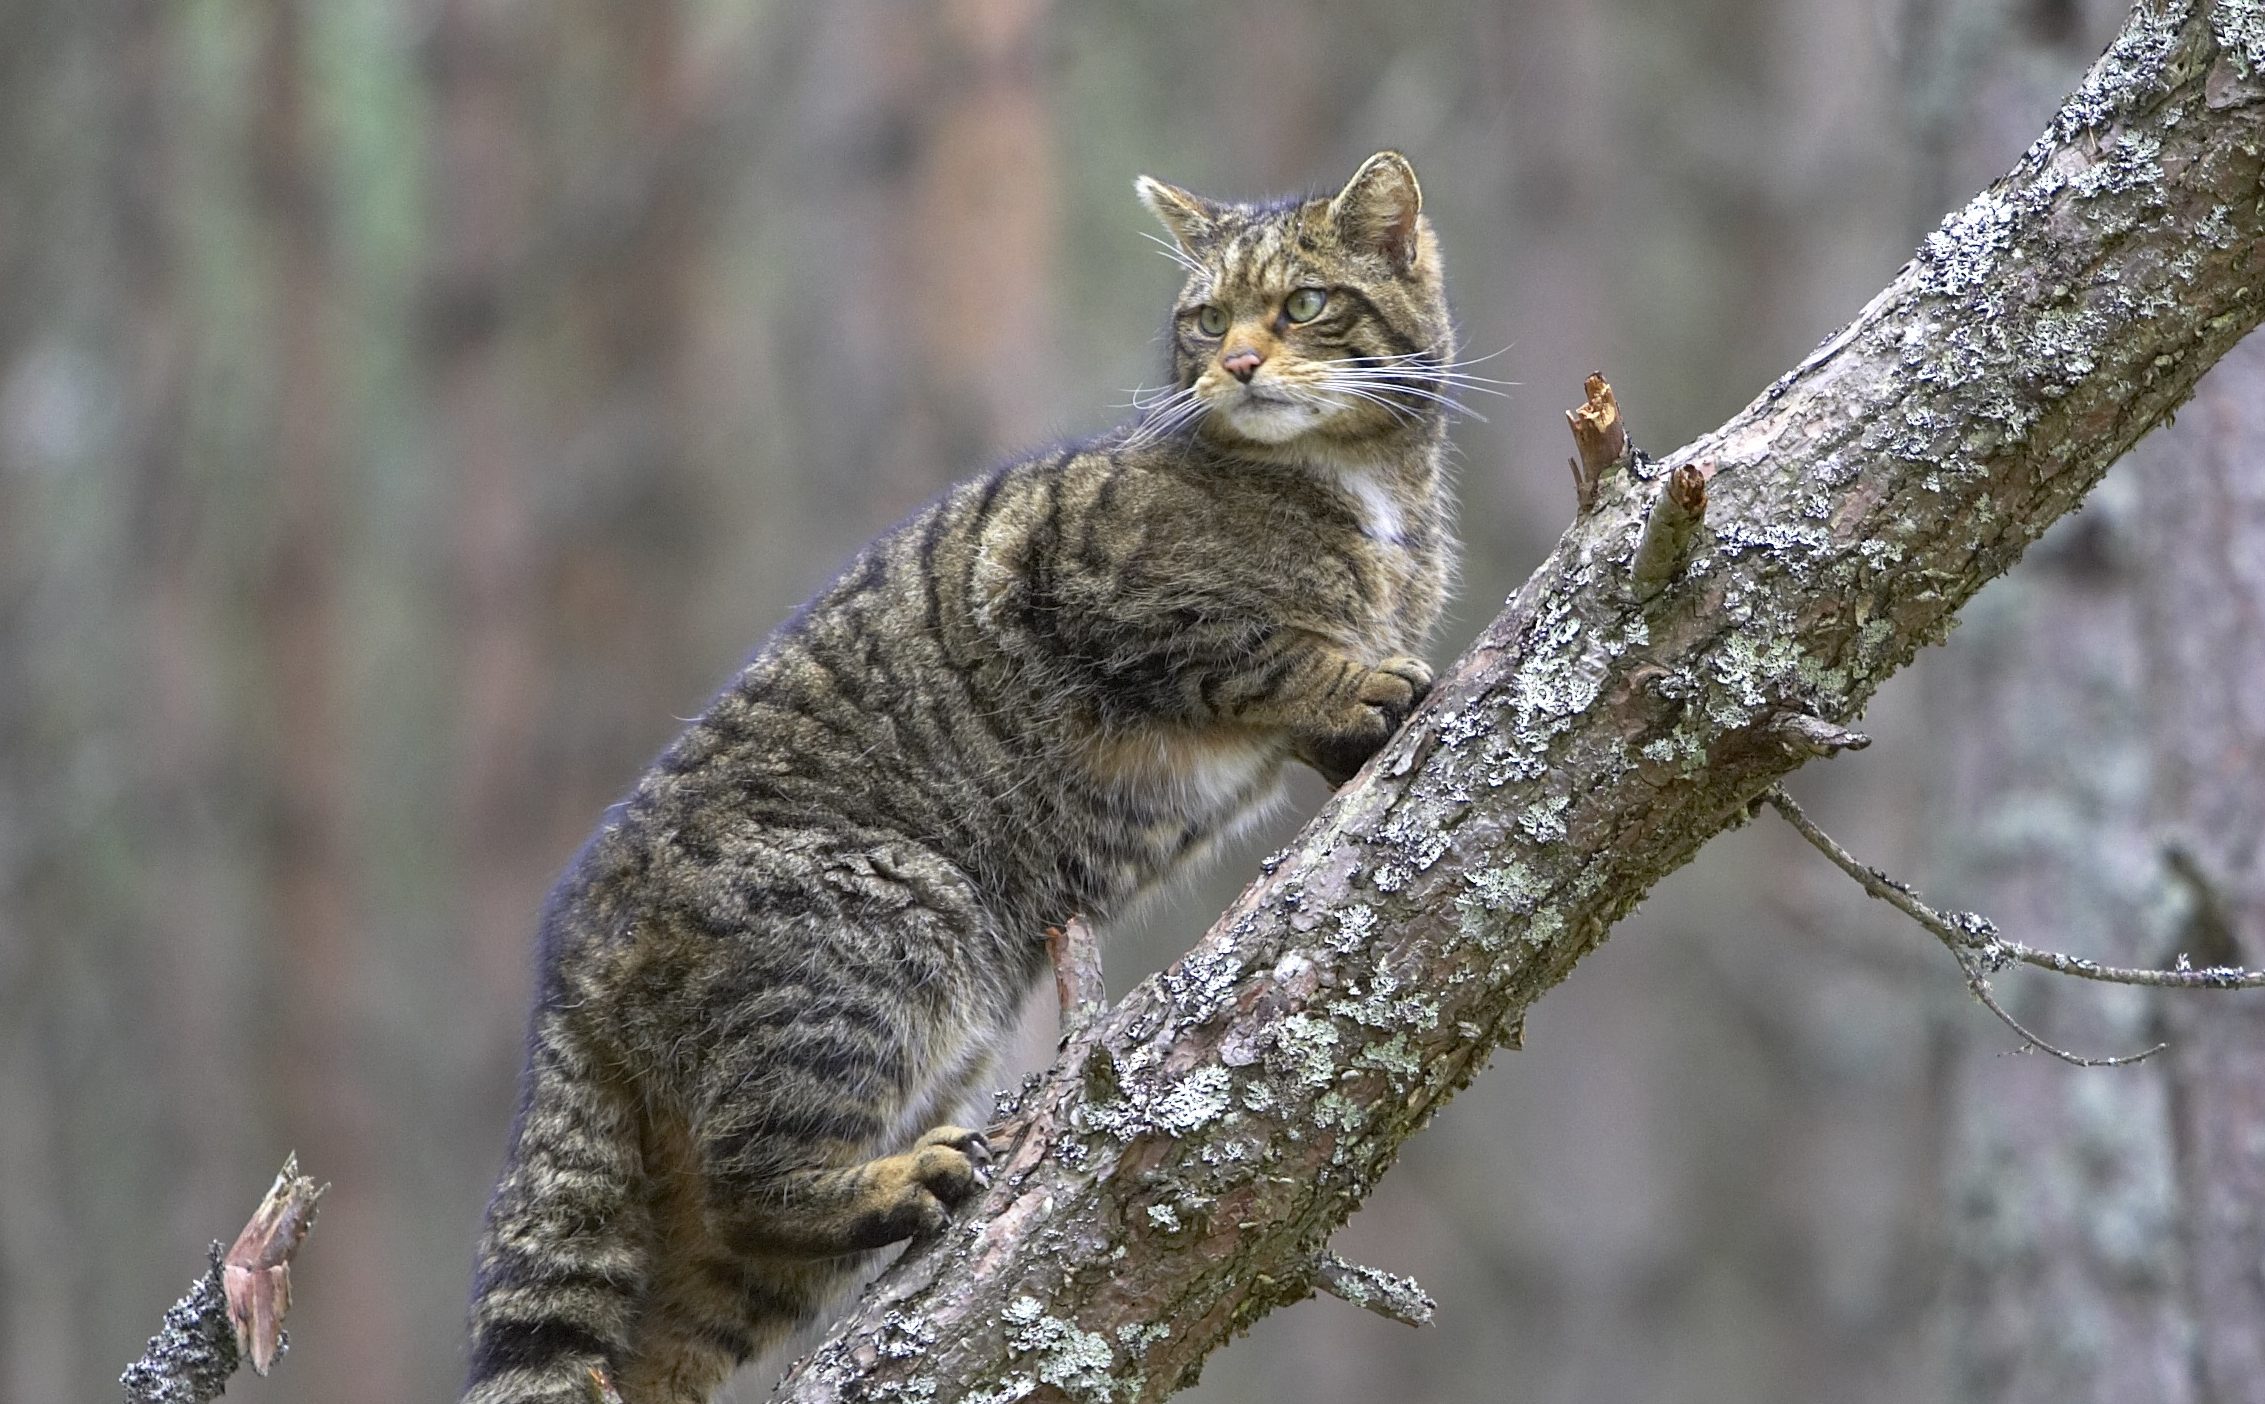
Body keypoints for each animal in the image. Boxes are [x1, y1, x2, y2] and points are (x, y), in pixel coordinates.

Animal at [464, 150, 1467, 1404]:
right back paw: (902, 1180)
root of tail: (567, 963)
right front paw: (1358, 681)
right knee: (755, 1182)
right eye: (1206, 319)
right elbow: (1259, 650)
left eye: (1306, 304)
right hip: (893, 926)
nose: (1235, 364)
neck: (1363, 489)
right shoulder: (1087, 582)